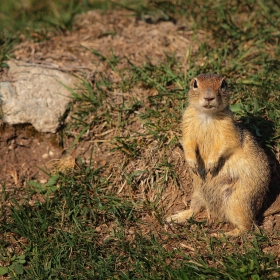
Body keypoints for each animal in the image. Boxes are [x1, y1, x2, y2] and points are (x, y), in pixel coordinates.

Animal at [166, 73, 272, 235]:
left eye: (223, 84)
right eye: (195, 84)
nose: (209, 97)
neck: (207, 116)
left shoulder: (228, 129)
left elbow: (225, 145)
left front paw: (211, 165)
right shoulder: (187, 124)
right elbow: (188, 143)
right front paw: (192, 163)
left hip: (238, 202)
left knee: (247, 227)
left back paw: (222, 234)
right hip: (198, 193)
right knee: (195, 209)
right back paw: (174, 218)